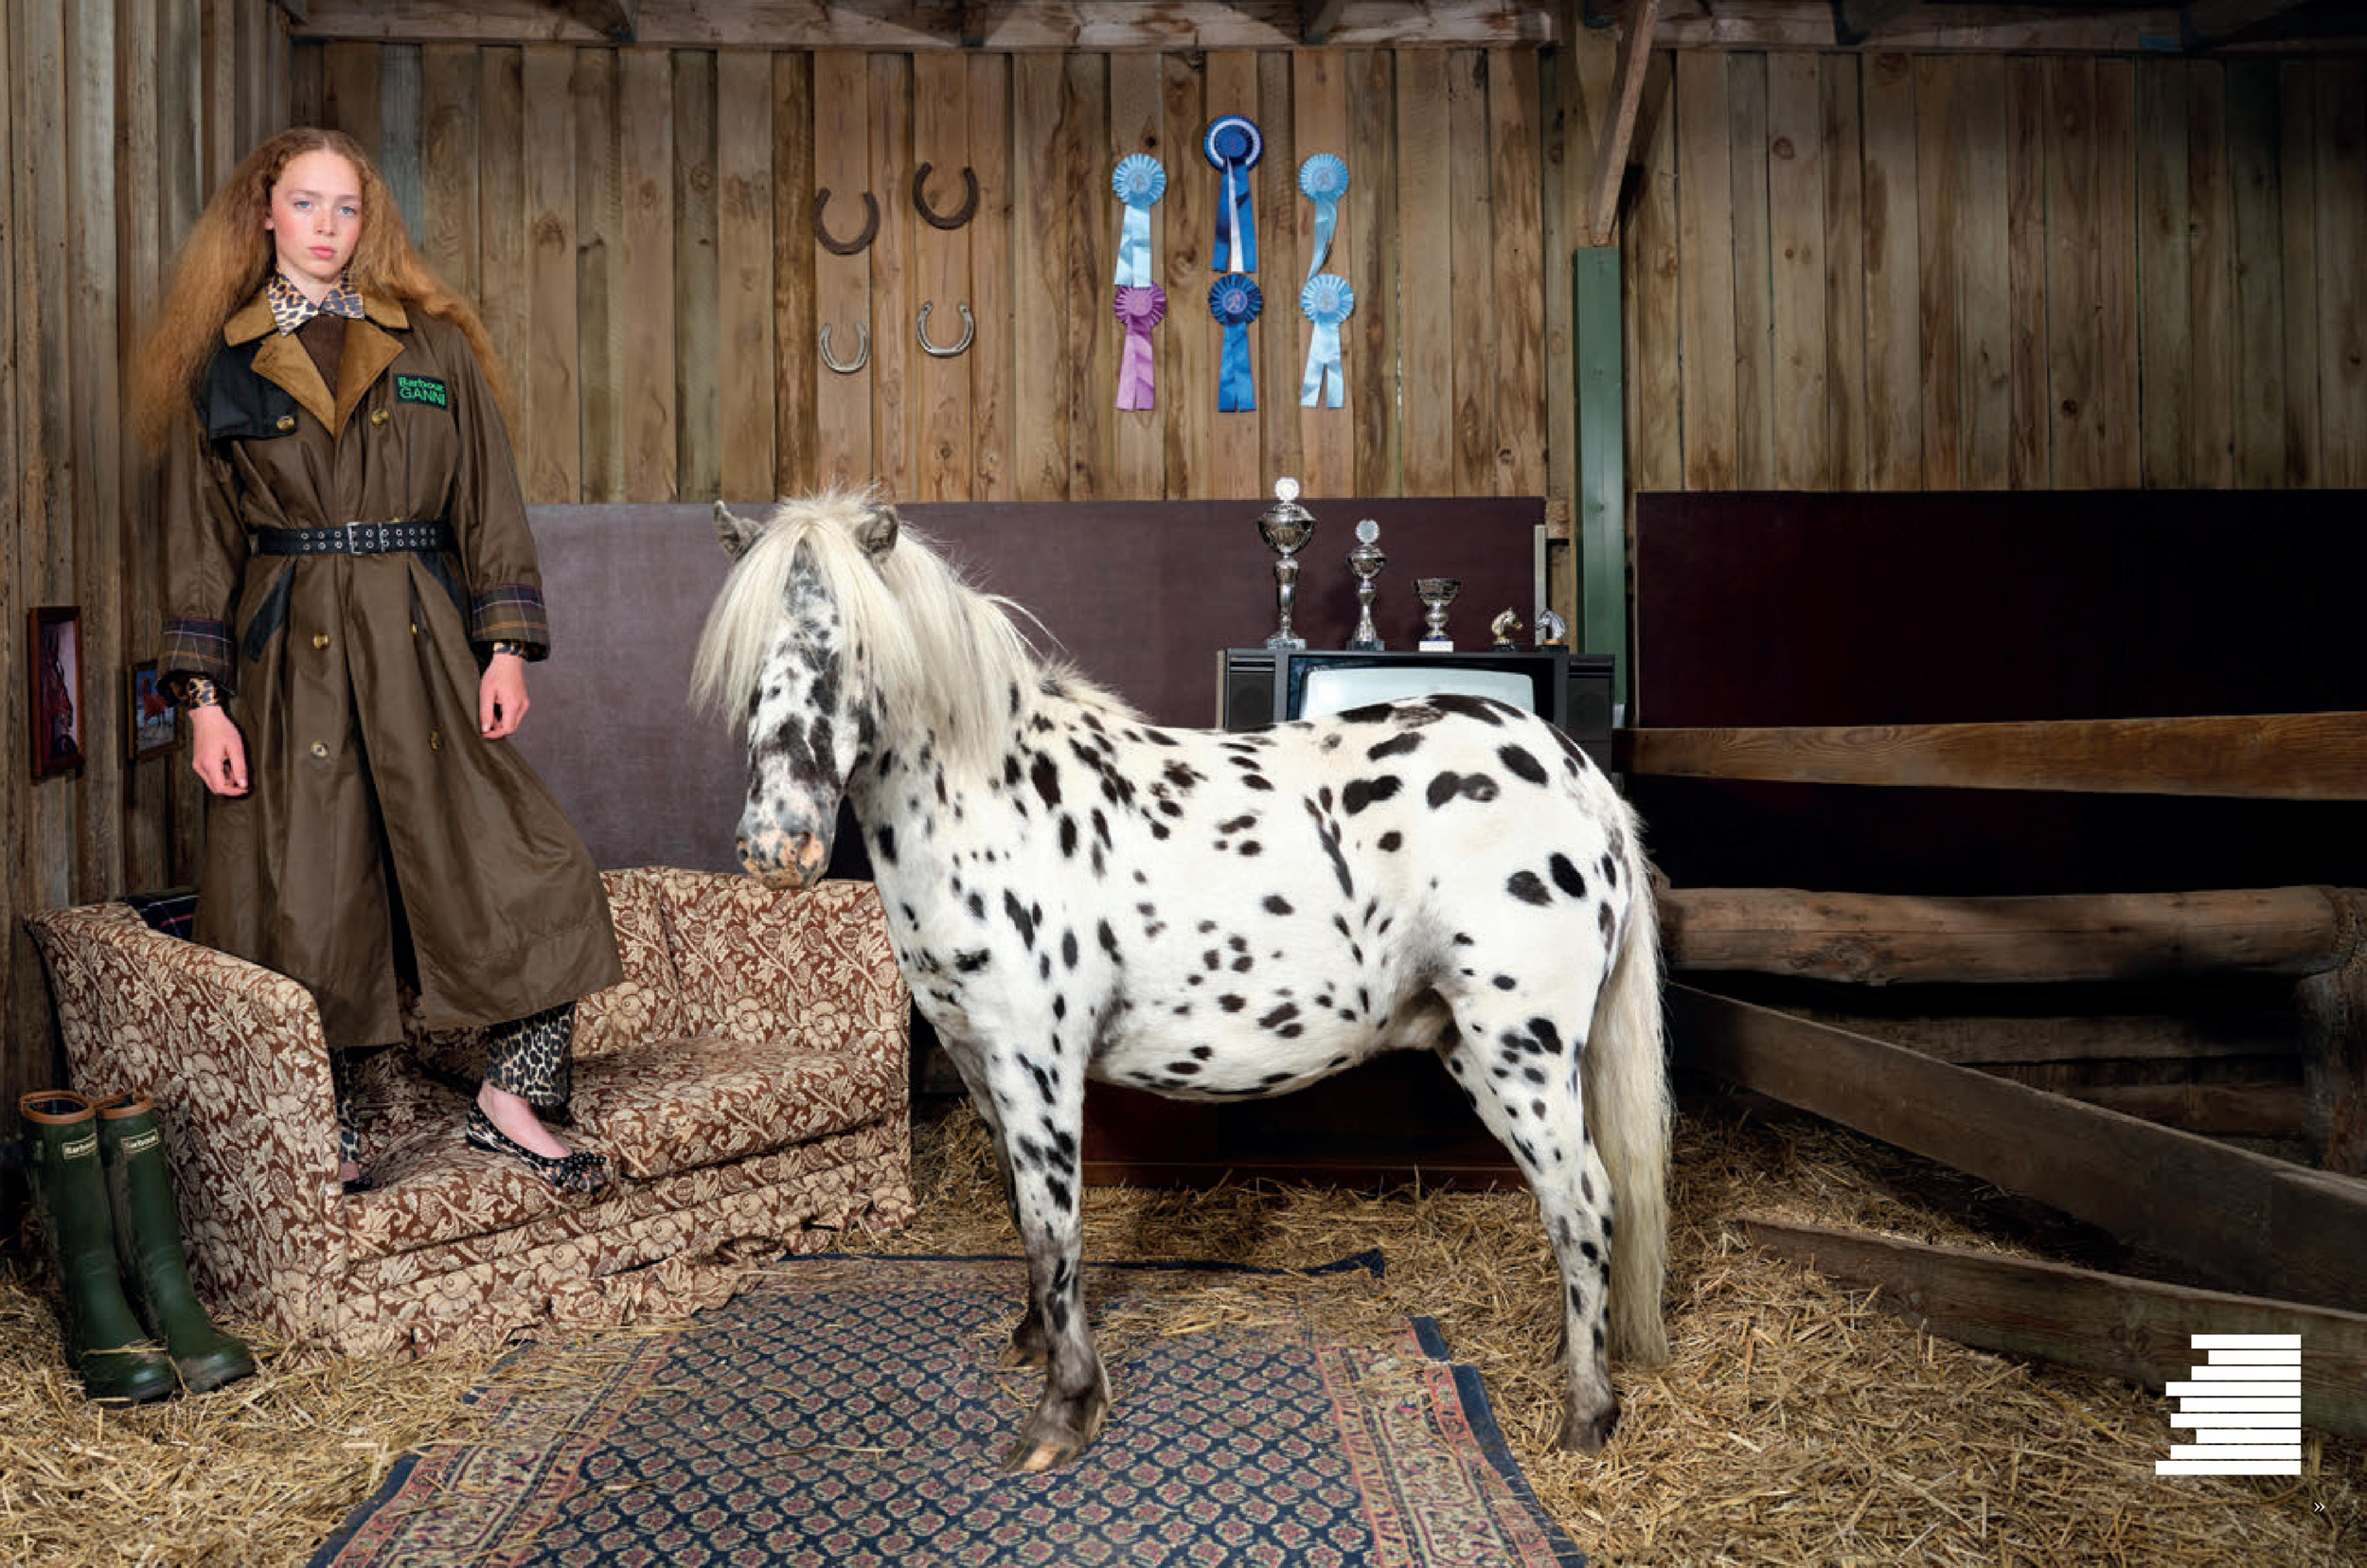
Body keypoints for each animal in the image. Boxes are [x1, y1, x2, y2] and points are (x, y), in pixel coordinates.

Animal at [693, 490, 1672, 1473]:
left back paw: (1587, 1413)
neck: (993, 804)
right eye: (745, 656)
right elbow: (1018, 1207)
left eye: (849, 646)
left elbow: (1054, 1226)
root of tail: (1577, 774)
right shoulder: (978, 1063)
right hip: (1473, 1047)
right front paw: (1033, 1343)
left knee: (1585, 1202)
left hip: (1524, 1048)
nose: (778, 846)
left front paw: (1064, 1410)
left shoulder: (1034, 1063)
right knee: (1573, 1204)